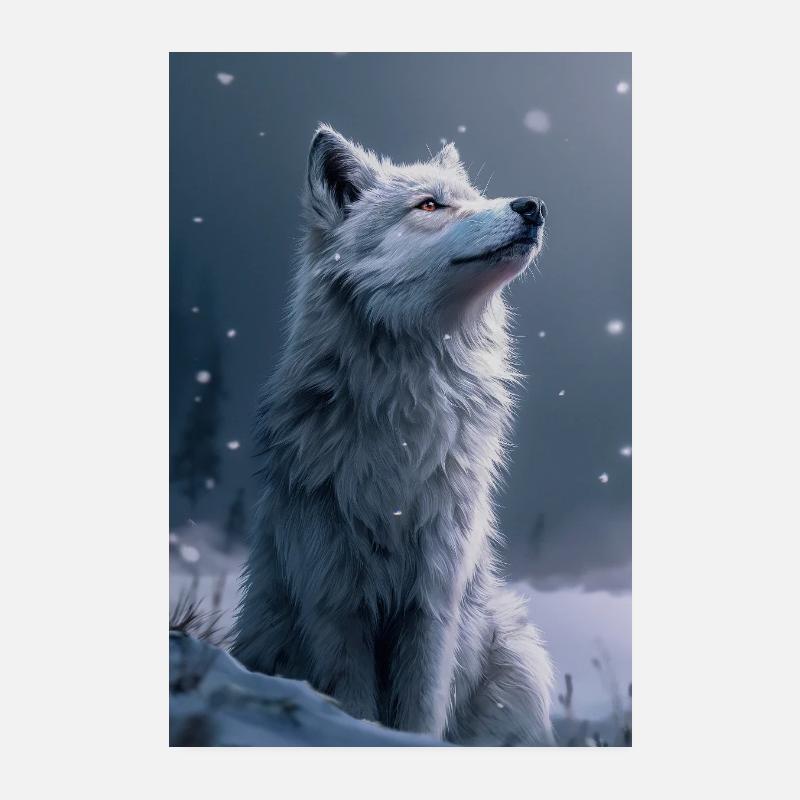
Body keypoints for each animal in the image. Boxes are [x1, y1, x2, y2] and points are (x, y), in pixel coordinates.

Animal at [231, 125, 554, 745]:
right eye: (429, 206)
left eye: (475, 197)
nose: (533, 206)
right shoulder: (335, 604)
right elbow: (352, 705)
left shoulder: (433, 603)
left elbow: (422, 711)